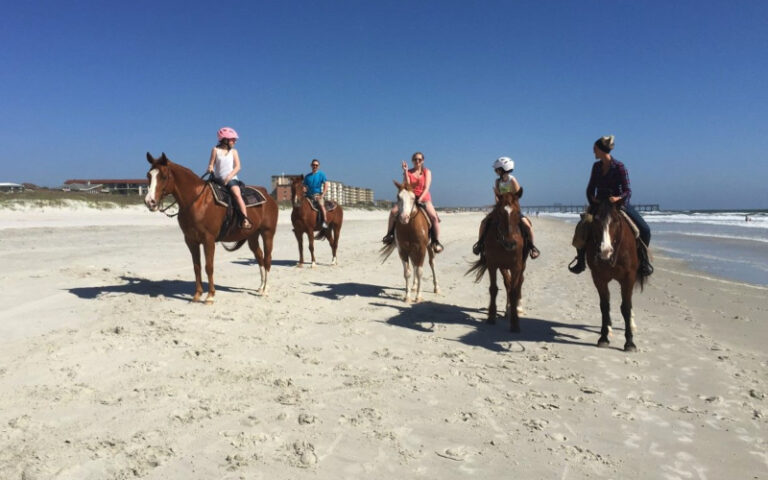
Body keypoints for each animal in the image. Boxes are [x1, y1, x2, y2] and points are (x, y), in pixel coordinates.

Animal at [142, 152, 278, 302]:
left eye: (164, 176)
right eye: (149, 175)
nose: (150, 202)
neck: (197, 201)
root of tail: (268, 196)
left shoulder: (209, 240)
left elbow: (209, 266)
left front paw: (210, 296)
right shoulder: (191, 241)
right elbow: (197, 267)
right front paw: (197, 295)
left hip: (267, 233)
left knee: (267, 259)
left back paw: (265, 289)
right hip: (252, 235)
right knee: (259, 256)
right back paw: (261, 286)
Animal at [468, 189, 528, 332]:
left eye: (517, 212)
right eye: (500, 213)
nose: (510, 244)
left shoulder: (516, 266)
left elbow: (514, 291)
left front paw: (515, 323)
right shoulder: (493, 265)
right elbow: (494, 289)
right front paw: (491, 317)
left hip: (522, 266)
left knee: (519, 283)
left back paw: (518, 308)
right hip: (503, 267)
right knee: (508, 284)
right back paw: (507, 310)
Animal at [588, 197, 648, 350]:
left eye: (615, 220)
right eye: (595, 219)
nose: (605, 251)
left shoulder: (628, 278)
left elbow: (626, 307)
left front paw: (630, 342)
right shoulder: (599, 278)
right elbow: (605, 306)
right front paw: (603, 338)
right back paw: (609, 328)